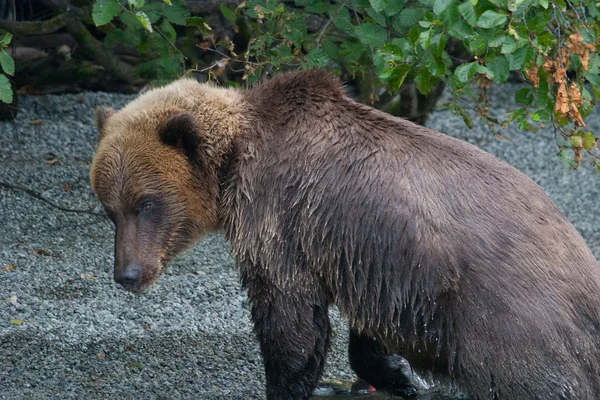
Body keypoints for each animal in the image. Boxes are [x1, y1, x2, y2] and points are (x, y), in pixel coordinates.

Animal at [90, 70, 600, 400]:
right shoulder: (368, 255)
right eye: (109, 209)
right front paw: (397, 373)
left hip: (507, 321)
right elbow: (367, 321)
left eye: (147, 203)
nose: (128, 274)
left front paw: (286, 384)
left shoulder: (280, 220)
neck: (233, 164)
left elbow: (290, 317)